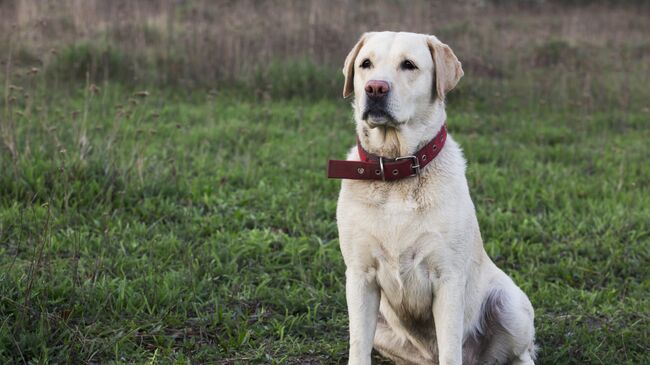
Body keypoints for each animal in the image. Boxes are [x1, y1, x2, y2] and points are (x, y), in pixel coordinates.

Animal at [326, 32, 536, 364]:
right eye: (365, 64)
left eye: (409, 65)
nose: (375, 88)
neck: (395, 170)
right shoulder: (360, 277)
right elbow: (358, 348)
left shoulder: (447, 278)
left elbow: (450, 351)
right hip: (384, 330)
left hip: (509, 304)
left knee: (520, 352)